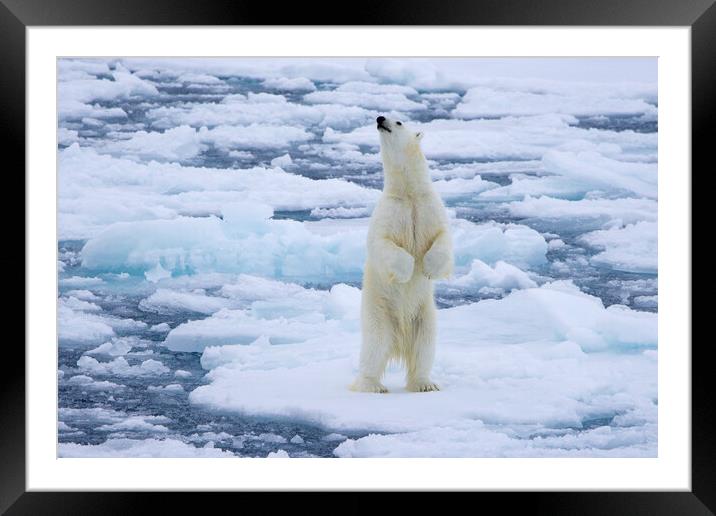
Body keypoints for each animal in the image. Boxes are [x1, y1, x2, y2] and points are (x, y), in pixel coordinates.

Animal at [352, 115, 454, 394]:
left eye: (398, 122)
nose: (380, 118)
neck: (409, 192)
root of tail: (400, 342)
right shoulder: (390, 212)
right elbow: (381, 243)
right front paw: (407, 269)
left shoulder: (428, 207)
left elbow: (443, 236)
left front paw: (428, 268)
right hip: (378, 313)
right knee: (374, 347)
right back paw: (372, 385)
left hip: (425, 315)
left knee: (424, 347)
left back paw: (425, 383)